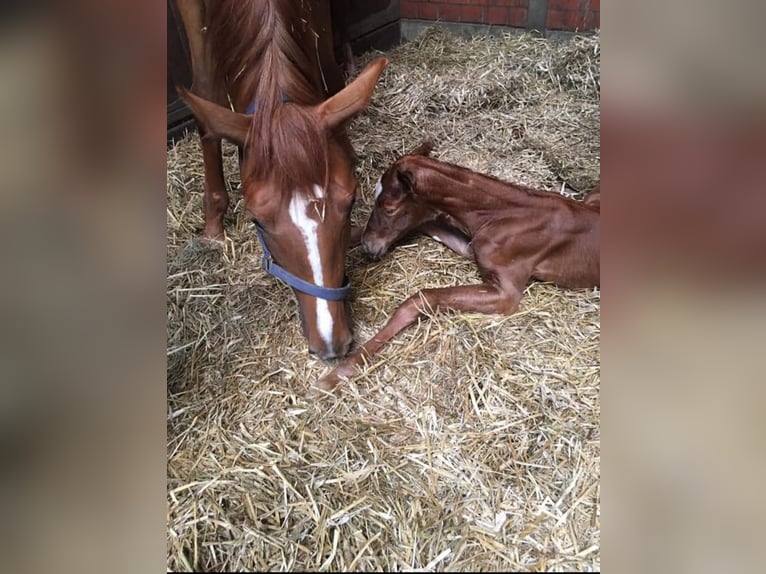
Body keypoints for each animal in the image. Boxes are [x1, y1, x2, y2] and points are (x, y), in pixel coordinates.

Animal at [172, 0, 388, 359]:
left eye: (352, 200)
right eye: (256, 220)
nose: (331, 343)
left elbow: (326, 73)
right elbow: (205, 99)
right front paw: (213, 225)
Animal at [315, 140, 600, 390]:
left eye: (389, 207)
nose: (368, 246)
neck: (506, 215)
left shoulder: (506, 294)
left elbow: (422, 298)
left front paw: (339, 372)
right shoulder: (469, 247)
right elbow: (426, 223)